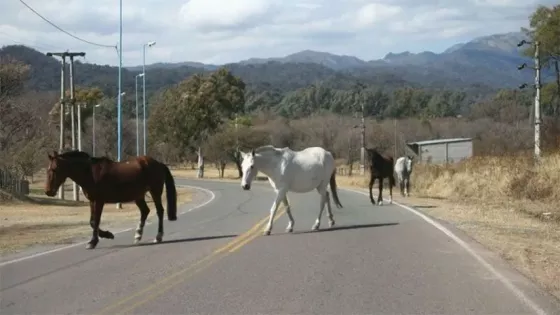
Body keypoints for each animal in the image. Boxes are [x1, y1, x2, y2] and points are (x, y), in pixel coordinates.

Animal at [44, 152, 177, 251]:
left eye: (55, 169)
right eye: (47, 169)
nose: (48, 191)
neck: (90, 172)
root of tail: (159, 163)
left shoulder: (99, 201)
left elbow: (96, 221)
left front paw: (94, 241)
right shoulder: (92, 201)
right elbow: (92, 222)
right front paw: (106, 235)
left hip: (155, 192)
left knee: (159, 211)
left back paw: (158, 236)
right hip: (138, 196)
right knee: (145, 211)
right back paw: (138, 235)